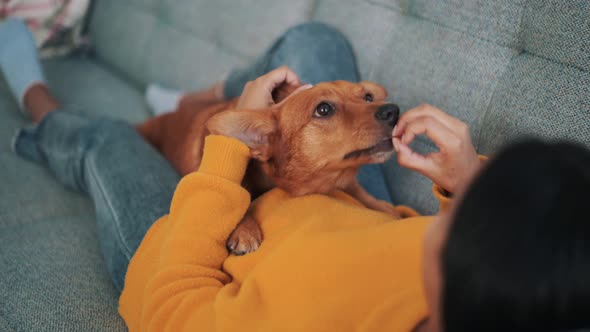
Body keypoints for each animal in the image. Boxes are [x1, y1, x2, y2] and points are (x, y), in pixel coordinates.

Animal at [140, 80, 402, 254]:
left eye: (368, 97)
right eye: (324, 109)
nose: (393, 111)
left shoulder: (345, 180)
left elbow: (361, 192)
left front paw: (385, 208)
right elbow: (233, 190)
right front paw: (245, 229)